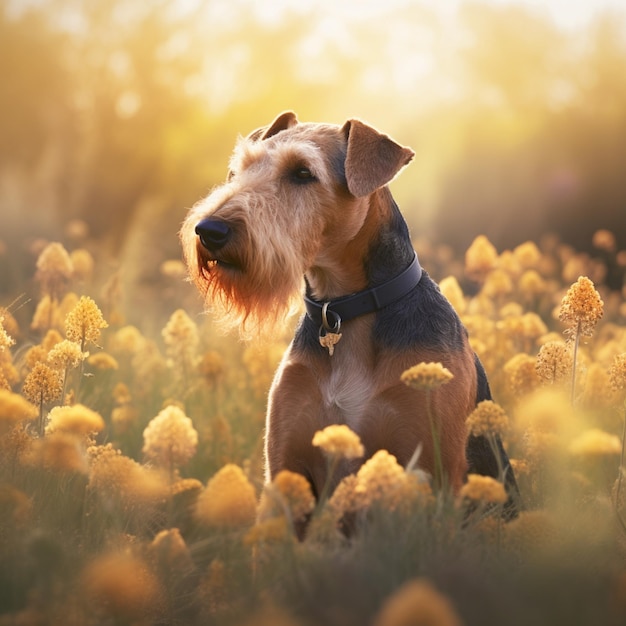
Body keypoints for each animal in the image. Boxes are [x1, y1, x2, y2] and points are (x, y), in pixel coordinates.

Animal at [179, 111, 516, 516]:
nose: (209, 230)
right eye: (239, 169)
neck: (343, 309)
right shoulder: (285, 463)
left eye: (303, 172)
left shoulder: (437, 467)